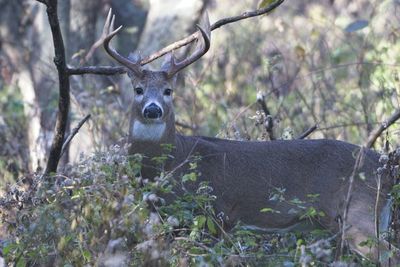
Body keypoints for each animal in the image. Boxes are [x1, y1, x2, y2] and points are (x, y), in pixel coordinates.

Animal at [101, 9, 396, 264]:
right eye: (138, 89)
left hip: (357, 210)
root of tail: (386, 167)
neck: (174, 158)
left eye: (168, 91)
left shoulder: (217, 212)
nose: (152, 109)